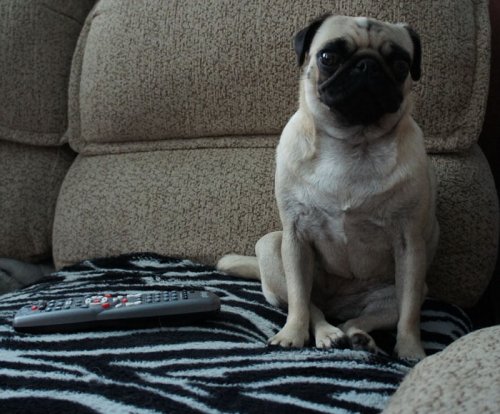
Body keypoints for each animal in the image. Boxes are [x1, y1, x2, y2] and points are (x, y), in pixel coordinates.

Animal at [218, 15, 438, 360]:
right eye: (328, 57)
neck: (352, 143)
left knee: (359, 318)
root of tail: (339, 303)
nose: (367, 65)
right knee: (313, 308)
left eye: (401, 64)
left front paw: (411, 349)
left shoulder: (409, 245)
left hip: (395, 292)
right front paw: (292, 335)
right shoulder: (295, 237)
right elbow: (299, 302)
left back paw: (357, 337)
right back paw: (327, 334)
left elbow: (410, 312)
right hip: (272, 248)